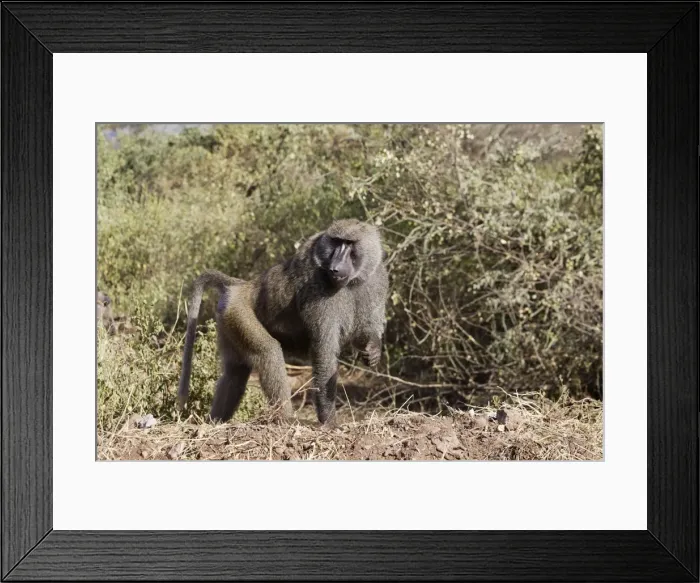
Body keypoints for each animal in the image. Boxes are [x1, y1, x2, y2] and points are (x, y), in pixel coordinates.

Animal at [178, 219, 389, 426]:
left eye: (349, 244)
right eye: (336, 242)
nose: (335, 268)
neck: (353, 282)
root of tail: (242, 286)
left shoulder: (377, 280)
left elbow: (364, 331)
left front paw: (372, 350)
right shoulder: (318, 290)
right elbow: (324, 352)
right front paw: (329, 421)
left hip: (227, 319)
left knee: (235, 374)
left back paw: (214, 422)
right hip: (237, 312)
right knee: (268, 352)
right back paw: (286, 418)